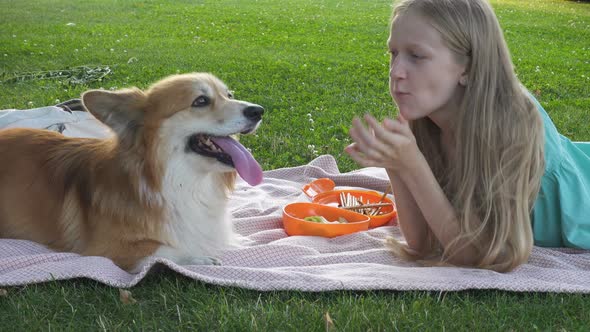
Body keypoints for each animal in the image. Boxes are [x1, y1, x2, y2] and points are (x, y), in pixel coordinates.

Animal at [0, 72, 266, 272]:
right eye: (200, 101)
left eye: (229, 95)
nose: (258, 111)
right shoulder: (107, 248)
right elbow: (167, 249)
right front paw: (199, 257)